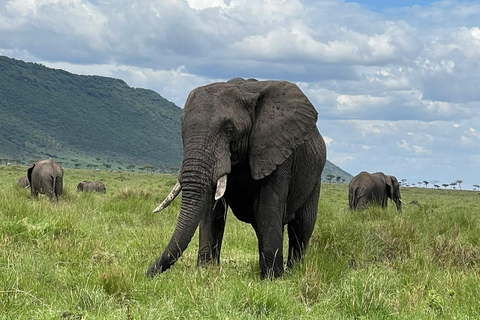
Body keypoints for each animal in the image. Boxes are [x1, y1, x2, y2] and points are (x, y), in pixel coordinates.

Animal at [146, 78, 326, 280]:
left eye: (230, 129)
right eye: (182, 130)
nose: (146, 273)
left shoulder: (276, 150)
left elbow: (267, 208)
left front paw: (272, 279)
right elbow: (212, 210)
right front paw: (206, 272)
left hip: (314, 177)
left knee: (302, 226)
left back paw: (294, 272)